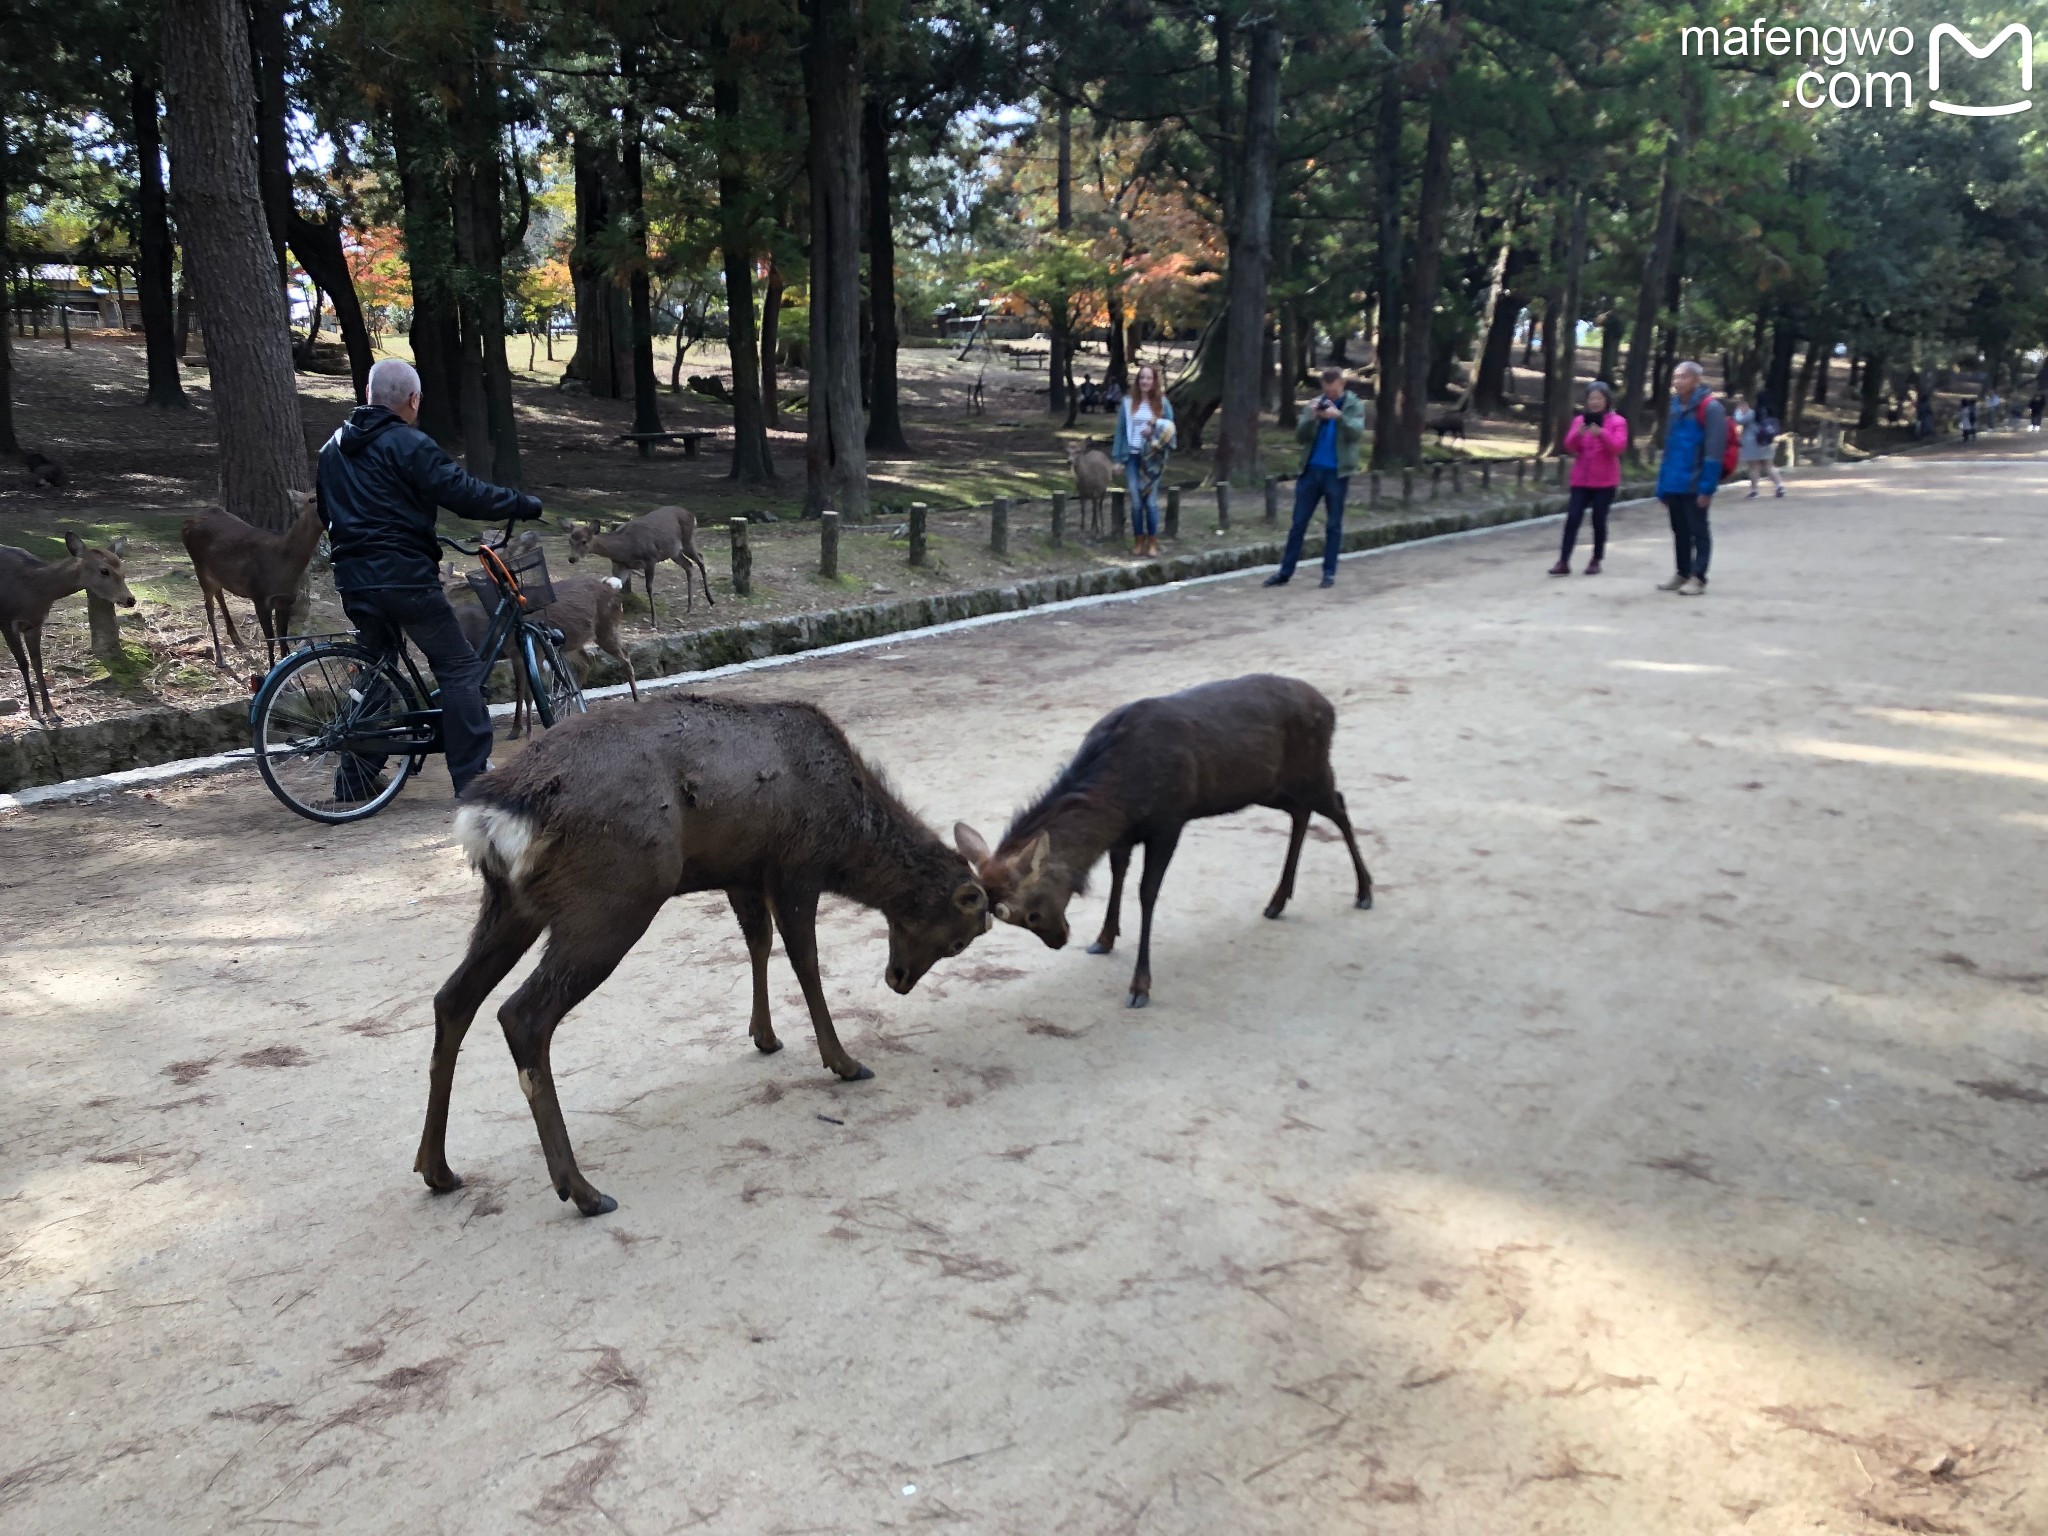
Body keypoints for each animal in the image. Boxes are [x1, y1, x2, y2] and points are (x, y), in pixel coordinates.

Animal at [1, 536, 139, 729]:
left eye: (123, 571)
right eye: (104, 570)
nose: (130, 600)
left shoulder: (35, 625)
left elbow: (38, 663)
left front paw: (52, 713)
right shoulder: (7, 622)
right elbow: (23, 664)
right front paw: (35, 714)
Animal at [184, 489, 323, 663]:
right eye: (311, 499)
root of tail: (187, 521)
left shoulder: (285, 599)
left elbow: (283, 639)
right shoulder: (259, 597)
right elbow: (270, 639)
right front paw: (271, 667)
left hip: (217, 572)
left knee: (219, 594)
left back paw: (237, 639)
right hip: (199, 566)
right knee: (209, 607)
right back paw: (220, 657)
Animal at [425, 696, 991, 1212]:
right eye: (957, 941)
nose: (898, 978)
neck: (848, 835)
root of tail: (493, 814)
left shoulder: (742, 874)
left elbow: (759, 943)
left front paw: (765, 1035)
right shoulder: (796, 866)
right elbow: (805, 961)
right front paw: (844, 1061)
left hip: (511, 902)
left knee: (453, 999)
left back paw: (438, 1169)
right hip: (614, 897)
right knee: (522, 1014)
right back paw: (582, 1190)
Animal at [565, 505, 716, 626]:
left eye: (584, 541)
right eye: (570, 540)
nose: (572, 558)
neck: (625, 549)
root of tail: (692, 515)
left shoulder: (650, 559)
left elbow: (649, 587)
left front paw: (654, 621)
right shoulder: (621, 565)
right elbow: (616, 587)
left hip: (687, 540)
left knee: (700, 559)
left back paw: (711, 600)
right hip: (674, 552)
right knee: (689, 565)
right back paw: (690, 607)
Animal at [958, 671, 1376, 1011]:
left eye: (1028, 913)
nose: (1059, 940)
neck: (1121, 799)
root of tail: (1329, 706)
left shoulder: (1168, 821)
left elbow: (1147, 892)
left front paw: (1140, 986)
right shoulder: (1124, 834)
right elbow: (1118, 877)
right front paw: (1104, 938)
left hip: (1312, 768)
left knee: (1338, 806)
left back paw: (1364, 892)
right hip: (1270, 785)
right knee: (1301, 812)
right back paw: (1277, 901)